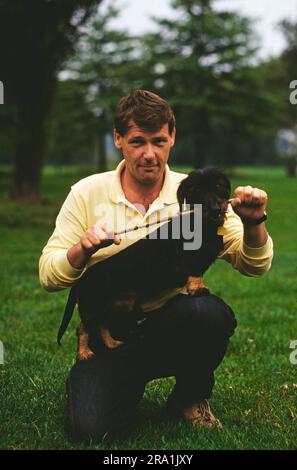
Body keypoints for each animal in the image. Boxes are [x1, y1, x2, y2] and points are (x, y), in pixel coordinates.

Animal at [57, 168, 229, 360]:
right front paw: (198, 288)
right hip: (92, 305)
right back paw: (84, 352)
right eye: (197, 190)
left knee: (102, 325)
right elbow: (194, 272)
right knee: (83, 328)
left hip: (113, 305)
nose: (215, 209)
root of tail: (83, 277)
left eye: (218, 186)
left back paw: (112, 343)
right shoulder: (188, 259)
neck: (202, 224)